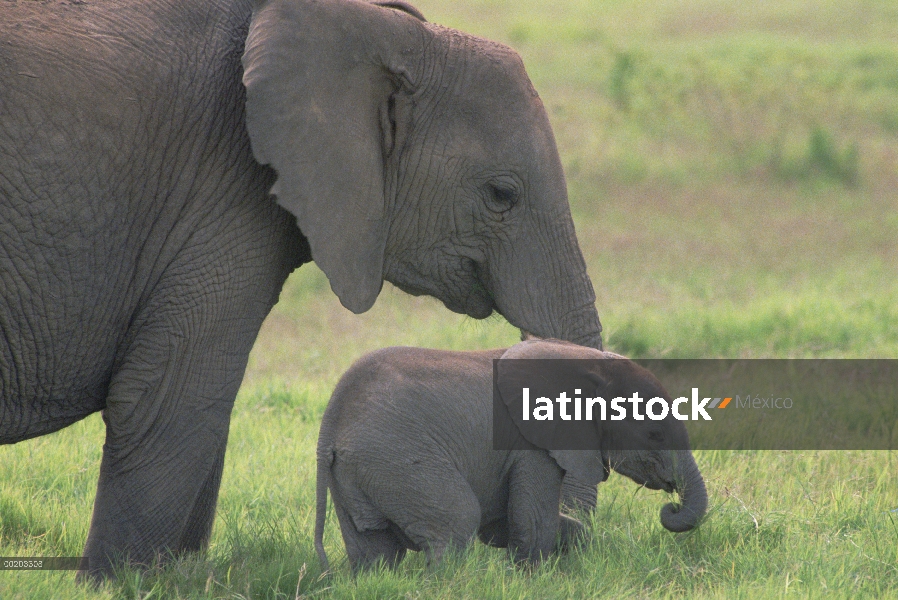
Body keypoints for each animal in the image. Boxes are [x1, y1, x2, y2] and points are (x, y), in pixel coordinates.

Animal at [1, 0, 600, 580]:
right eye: (502, 194)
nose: (571, 538)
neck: (385, 30)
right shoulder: (221, 194)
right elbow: (170, 399)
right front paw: (118, 585)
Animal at [316, 340, 708, 568]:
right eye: (654, 434)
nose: (671, 507)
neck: (592, 366)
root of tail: (331, 423)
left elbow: (510, 523)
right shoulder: (532, 446)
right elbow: (532, 523)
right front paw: (531, 580)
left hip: (357, 472)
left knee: (373, 551)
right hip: (396, 458)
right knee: (456, 523)